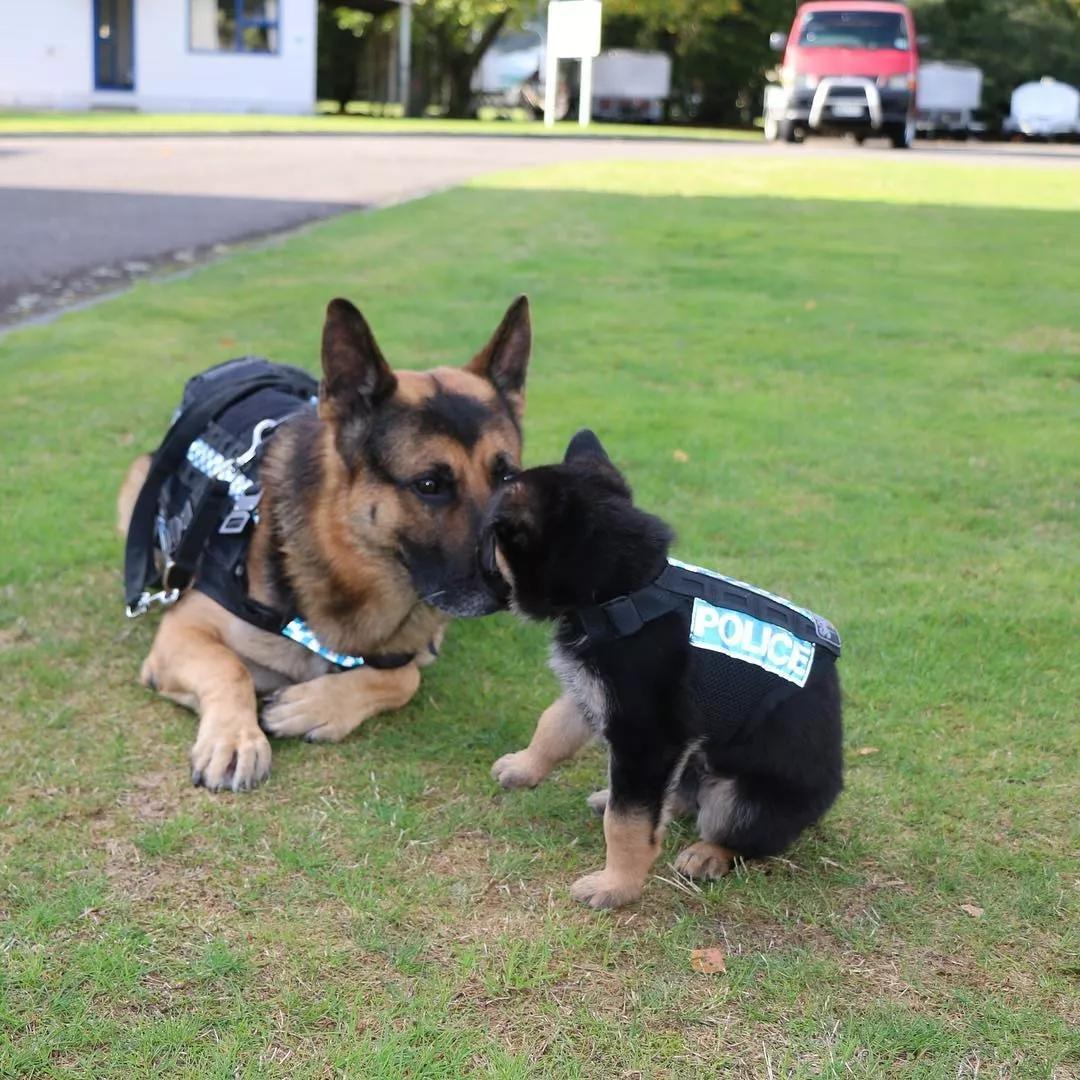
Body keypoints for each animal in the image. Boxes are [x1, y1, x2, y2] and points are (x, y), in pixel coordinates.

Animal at [118, 295, 531, 794]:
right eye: (430, 485)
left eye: (507, 477)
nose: (512, 589)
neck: (348, 566)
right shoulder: (184, 629)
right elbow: (230, 668)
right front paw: (235, 740)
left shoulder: (419, 646)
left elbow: (404, 677)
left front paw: (315, 707)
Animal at [483, 429, 842, 911]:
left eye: (492, 540)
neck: (620, 590)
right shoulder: (592, 693)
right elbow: (553, 726)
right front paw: (525, 767)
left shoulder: (647, 737)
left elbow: (627, 824)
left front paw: (616, 886)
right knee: (674, 798)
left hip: (741, 796)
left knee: (742, 835)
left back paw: (709, 853)